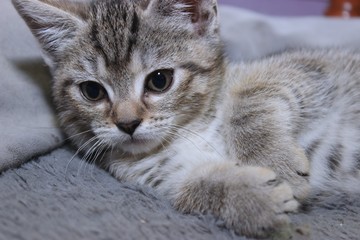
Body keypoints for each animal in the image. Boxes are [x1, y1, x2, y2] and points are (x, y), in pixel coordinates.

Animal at [12, 0, 360, 237]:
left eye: (159, 80)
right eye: (92, 91)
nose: (127, 124)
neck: (189, 128)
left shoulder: (305, 67)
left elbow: (252, 98)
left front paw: (274, 159)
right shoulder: (160, 177)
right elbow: (197, 186)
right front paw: (252, 200)